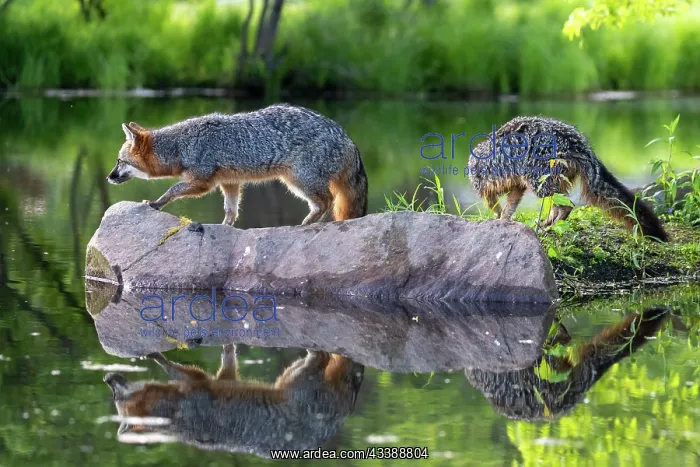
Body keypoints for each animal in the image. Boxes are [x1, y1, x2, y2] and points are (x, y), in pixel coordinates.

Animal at [103, 344, 364, 458]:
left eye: (115, 396)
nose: (107, 377)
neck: (171, 416)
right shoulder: (219, 380)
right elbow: (228, 360)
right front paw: (228, 345)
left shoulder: (197, 388)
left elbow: (174, 369)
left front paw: (158, 357)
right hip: (289, 376)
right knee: (326, 357)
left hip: (298, 381)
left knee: (324, 356)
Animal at [106, 104, 368, 226]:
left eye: (119, 161)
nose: (109, 177)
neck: (183, 144)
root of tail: (346, 136)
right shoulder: (230, 183)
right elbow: (231, 211)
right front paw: (226, 227)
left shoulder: (202, 183)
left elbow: (172, 189)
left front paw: (156, 203)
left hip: (299, 181)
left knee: (327, 201)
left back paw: (306, 225)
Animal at [468, 116, 669, 241]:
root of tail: (580, 144)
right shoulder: (517, 187)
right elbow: (509, 208)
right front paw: (504, 220)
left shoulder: (486, 189)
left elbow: (495, 207)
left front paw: (498, 219)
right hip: (553, 183)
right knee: (558, 206)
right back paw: (547, 223)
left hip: (540, 183)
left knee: (567, 206)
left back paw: (550, 226)